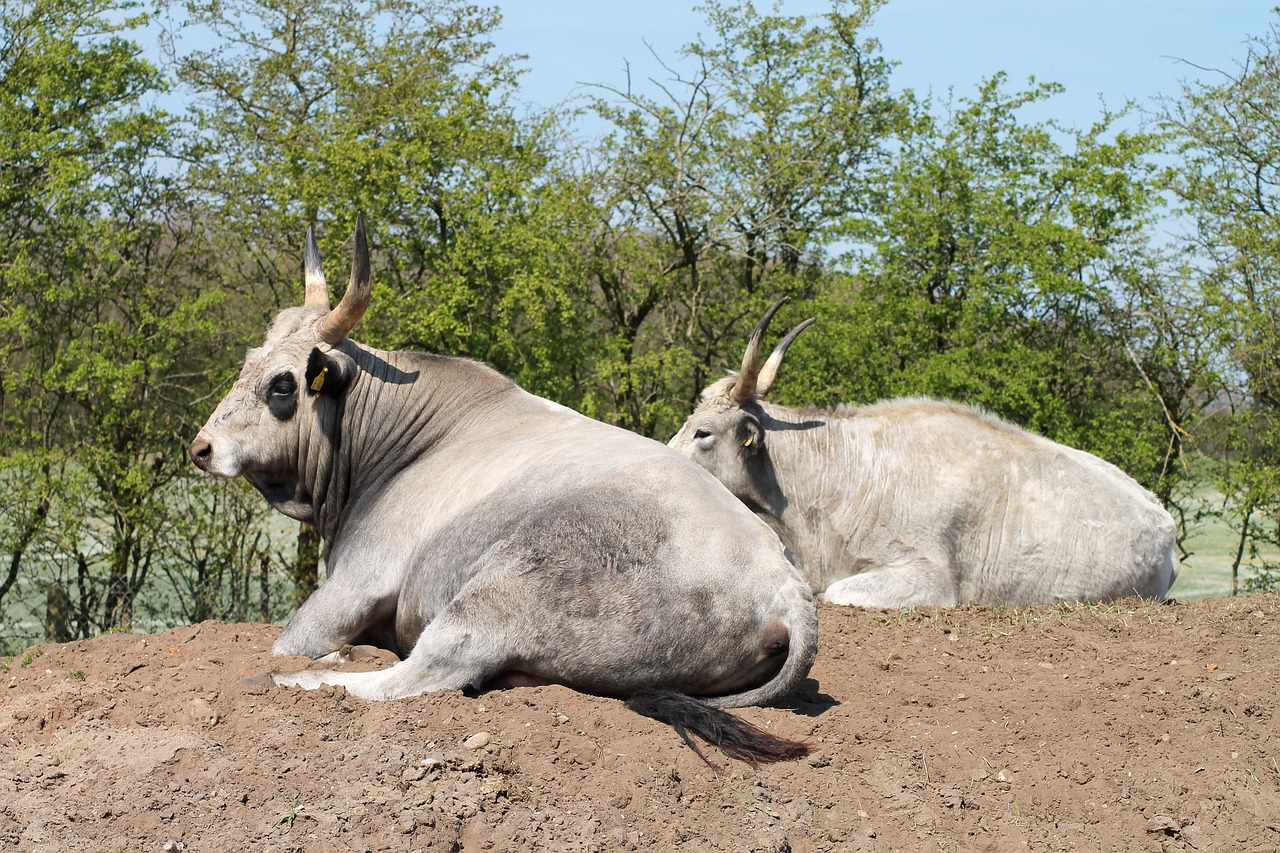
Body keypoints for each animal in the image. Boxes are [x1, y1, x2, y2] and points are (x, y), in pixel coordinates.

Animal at [186, 216, 819, 758]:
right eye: (248, 362)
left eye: (282, 384)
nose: (201, 448)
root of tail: (782, 581)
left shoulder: (353, 583)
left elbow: (287, 641)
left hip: (494, 598)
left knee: (411, 677)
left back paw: (309, 676)